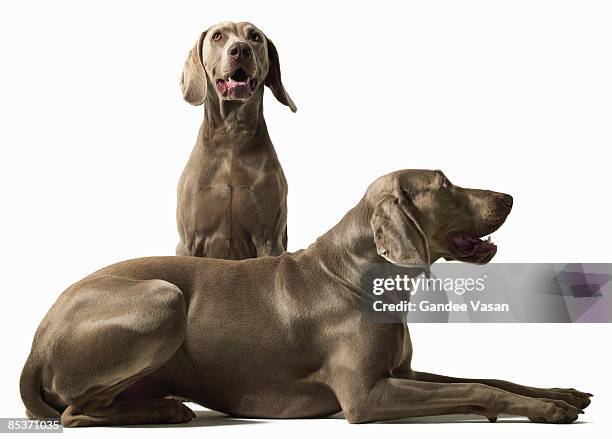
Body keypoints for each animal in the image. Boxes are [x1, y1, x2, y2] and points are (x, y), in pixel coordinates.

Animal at [21, 171, 592, 426]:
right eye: (445, 184)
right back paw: (166, 411)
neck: (357, 275)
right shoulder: (365, 396)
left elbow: (491, 377)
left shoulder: (401, 373)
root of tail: (36, 342)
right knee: (74, 414)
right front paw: (547, 410)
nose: (509, 197)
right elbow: (480, 387)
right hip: (164, 297)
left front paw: (560, 393)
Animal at [176, 22, 296, 260]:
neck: (231, 136)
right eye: (217, 36)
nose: (240, 49)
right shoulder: (188, 242)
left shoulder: (269, 240)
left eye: (255, 37)